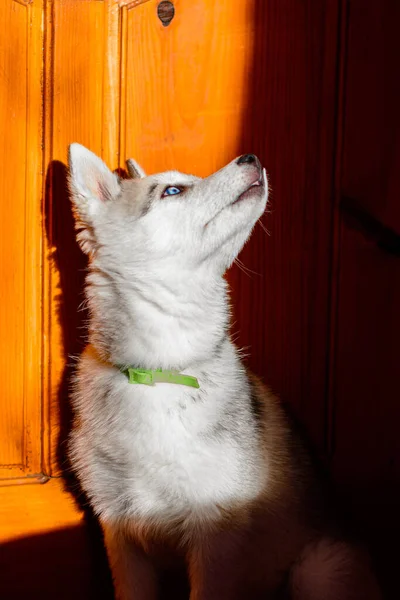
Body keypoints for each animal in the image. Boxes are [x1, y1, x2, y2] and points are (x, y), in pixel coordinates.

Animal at [66, 146, 382, 600]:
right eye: (172, 190)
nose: (251, 156)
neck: (161, 373)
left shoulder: (215, 537)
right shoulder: (122, 536)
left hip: (317, 569)